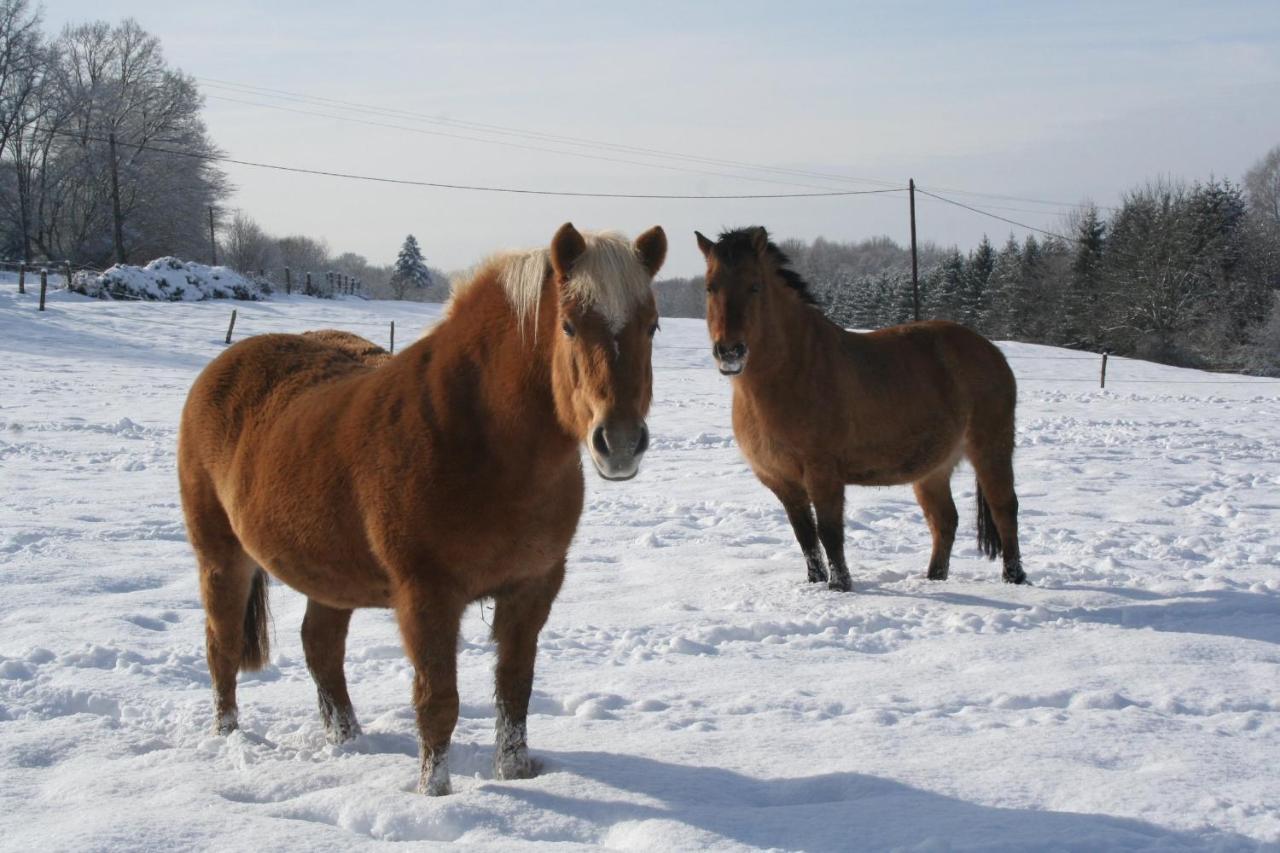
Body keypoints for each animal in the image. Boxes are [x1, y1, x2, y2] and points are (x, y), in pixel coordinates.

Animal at [180, 222, 670, 794]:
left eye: (652, 327)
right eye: (568, 325)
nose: (620, 443)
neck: (476, 437)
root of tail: (223, 366)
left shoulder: (532, 588)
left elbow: (514, 690)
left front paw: (515, 776)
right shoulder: (427, 595)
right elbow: (438, 703)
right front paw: (433, 792)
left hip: (328, 575)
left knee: (320, 648)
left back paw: (348, 740)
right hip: (221, 557)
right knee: (222, 647)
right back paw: (229, 738)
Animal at [696, 225, 1024, 591]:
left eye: (755, 286)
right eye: (710, 287)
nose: (729, 351)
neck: (792, 371)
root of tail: (991, 352)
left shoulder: (823, 473)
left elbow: (829, 533)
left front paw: (840, 586)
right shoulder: (782, 481)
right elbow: (805, 538)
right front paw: (815, 584)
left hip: (990, 450)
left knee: (1004, 508)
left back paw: (1014, 577)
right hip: (933, 468)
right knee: (945, 520)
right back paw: (934, 578)